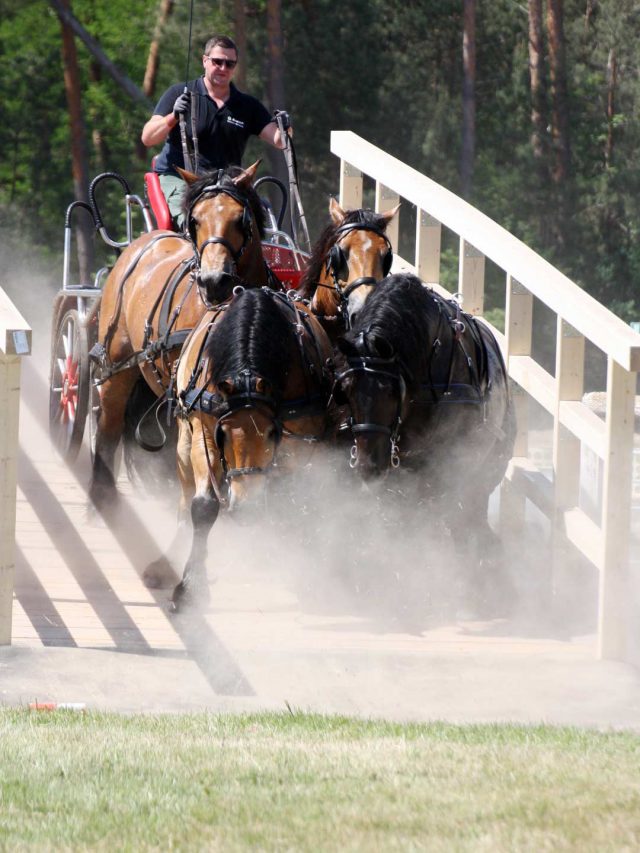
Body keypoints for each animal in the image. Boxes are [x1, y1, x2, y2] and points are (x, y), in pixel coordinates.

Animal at [87, 163, 280, 510]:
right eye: (195, 220)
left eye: (240, 218)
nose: (214, 280)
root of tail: (144, 241)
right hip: (116, 371)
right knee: (108, 431)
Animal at [145, 288, 336, 612]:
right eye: (222, 433)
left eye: (273, 432)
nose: (246, 507)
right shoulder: (203, 437)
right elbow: (203, 507)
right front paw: (190, 586)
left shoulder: (301, 448)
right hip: (184, 442)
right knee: (185, 498)